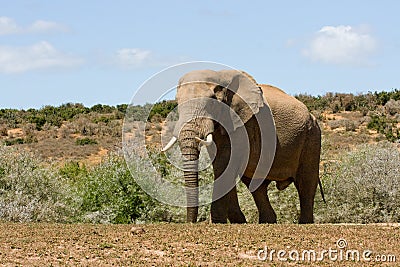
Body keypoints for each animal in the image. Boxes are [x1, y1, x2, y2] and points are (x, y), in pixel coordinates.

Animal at [161, 69, 324, 224]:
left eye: (211, 104)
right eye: (177, 103)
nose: (191, 222)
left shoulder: (243, 124)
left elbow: (224, 164)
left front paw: (219, 222)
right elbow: (222, 165)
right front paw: (237, 221)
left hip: (311, 137)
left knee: (306, 185)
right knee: (257, 187)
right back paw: (266, 221)